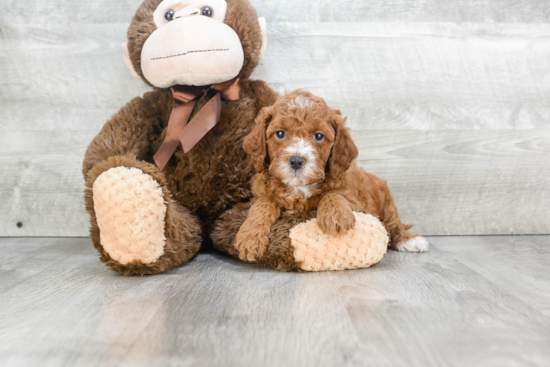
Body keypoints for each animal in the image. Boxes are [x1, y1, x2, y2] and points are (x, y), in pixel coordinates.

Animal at [235, 90, 430, 262]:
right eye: (280, 133)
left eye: (318, 136)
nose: (297, 160)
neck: (299, 187)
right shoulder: (260, 192)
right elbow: (263, 204)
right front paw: (249, 238)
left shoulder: (354, 198)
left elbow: (334, 194)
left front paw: (336, 217)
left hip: (385, 197)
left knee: (393, 224)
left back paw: (409, 240)